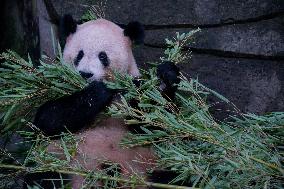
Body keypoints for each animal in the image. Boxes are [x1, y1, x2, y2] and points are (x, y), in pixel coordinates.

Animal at [25, 14, 180, 188]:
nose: (85, 74)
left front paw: (166, 77)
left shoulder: (133, 90)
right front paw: (98, 91)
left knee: (173, 175)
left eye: (102, 56)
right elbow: (47, 119)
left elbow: (156, 126)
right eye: (80, 54)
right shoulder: (55, 87)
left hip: (153, 164)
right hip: (56, 158)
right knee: (43, 175)